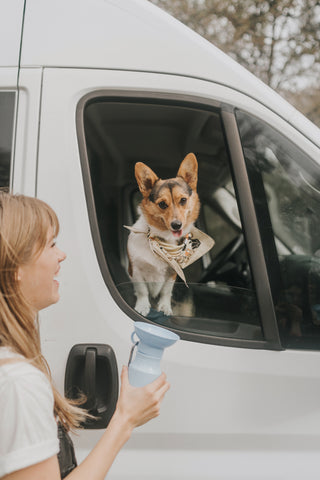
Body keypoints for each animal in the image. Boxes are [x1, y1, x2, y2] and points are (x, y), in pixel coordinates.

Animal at [127, 154, 200, 316]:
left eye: (183, 200)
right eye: (162, 204)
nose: (176, 225)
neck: (161, 241)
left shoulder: (173, 273)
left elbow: (166, 291)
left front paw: (165, 307)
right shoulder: (136, 271)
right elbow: (142, 291)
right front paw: (143, 306)